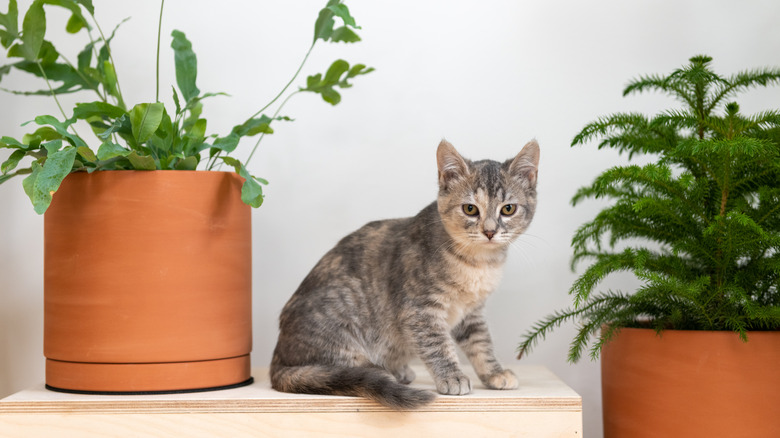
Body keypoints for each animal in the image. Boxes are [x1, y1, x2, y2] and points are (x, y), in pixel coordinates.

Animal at [272, 140, 540, 410]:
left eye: (508, 209)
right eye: (470, 209)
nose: (489, 231)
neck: (478, 262)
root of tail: (279, 357)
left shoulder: (472, 312)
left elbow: (481, 343)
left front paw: (494, 373)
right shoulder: (419, 309)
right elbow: (437, 345)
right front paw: (451, 376)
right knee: (340, 369)